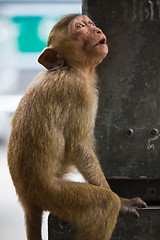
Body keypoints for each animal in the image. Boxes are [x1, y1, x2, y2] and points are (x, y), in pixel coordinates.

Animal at [7, 14, 148, 240]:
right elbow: (78, 147)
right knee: (104, 204)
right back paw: (112, 202)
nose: (98, 30)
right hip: (53, 193)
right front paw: (123, 202)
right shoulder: (79, 91)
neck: (69, 68)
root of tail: (25, 197)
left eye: (90, 24)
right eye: (80, 27)